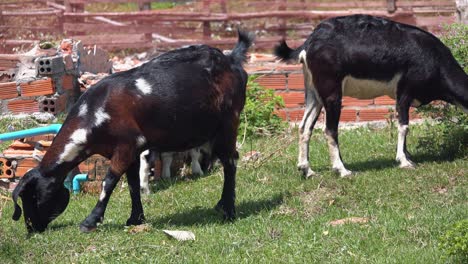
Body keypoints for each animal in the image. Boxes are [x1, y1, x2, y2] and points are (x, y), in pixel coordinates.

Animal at [11, 31, 254, 232]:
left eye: (34, 196)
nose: (32, 228)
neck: (95, 112)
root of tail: (231, 60)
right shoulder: (132, 152)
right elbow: (133, 184)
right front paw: (135, 219)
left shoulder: (127, 145)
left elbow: (108, 181)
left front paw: (90, 221)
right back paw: (221, 204)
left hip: (229, 122)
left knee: (230, 161)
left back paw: (229, 211)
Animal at [274, 15, 468, 178]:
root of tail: (309, 43)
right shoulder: (404, 93)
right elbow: (404, 126)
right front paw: (404, 161)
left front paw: (408, 157)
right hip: (332, 94)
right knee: (330, 130)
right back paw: (342, 170)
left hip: (314, 94)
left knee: (304, 127)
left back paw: (307, 170)